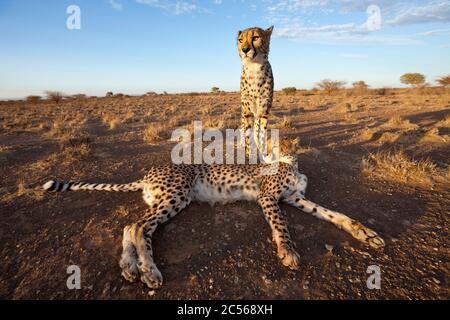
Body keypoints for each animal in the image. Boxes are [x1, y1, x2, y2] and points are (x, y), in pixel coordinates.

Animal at [44, 141, 384, 288]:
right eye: (273, 146)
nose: (271, 153)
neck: (292, 166)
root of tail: (148, 172)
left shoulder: (297, 199)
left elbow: (335, 214)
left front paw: (365, 233)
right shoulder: (269, 198)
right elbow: (282, 226)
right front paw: (287, 252)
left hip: (169, 199)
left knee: (131, 225)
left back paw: (130, 267)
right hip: (177, 195)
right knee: (140, 226)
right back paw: (149, 271)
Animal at [239, 26, 274, 160]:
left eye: (255, 37)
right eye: (240, 40)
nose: (244, 50)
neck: (254, 67)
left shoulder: (264, 113)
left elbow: (262, 135)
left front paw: (262, 153)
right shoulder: (247, 112)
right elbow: (247, 136)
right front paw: (248, 156)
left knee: (256, 129)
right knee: (242, 128)